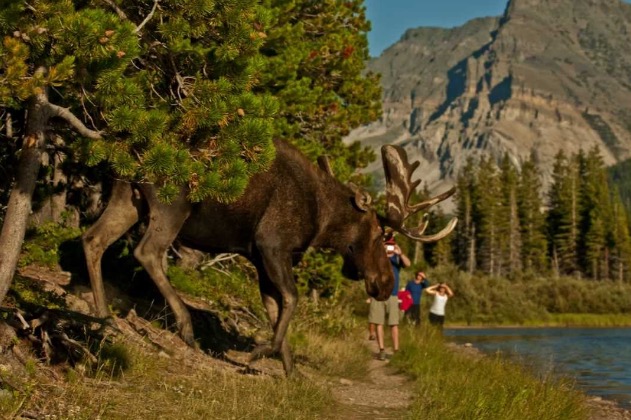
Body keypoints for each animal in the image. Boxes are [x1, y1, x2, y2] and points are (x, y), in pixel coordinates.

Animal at [82, 139, 460, 376]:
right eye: (383, 236)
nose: (383, 285)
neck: (322, 216)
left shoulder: (259, 257)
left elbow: (275, 309)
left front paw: (290, 370)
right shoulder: (272, 245)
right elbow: (291, 300)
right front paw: (260, 352)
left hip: (126, 197)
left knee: (93, 239)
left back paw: (102, 313)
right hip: (171, 204)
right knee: (147, 252)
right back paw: (186, 328)